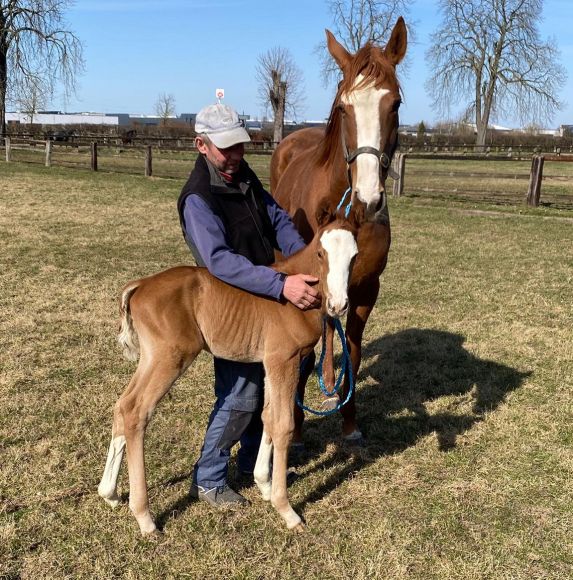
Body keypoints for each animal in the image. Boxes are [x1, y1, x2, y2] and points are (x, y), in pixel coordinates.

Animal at [98, 210, 358, 536]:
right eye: (321, 254)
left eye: (354, 256)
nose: (339, 305)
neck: (296, 299)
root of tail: (140, 285)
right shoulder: (282, 360)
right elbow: (282, 424)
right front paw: (286, 510)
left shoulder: (270, 364)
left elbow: (267, 416)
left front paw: (264, 485)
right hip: (169, 357)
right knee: (136, 411)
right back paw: (145, 517)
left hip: (150, 358)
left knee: (123, 405)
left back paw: (109, 493)